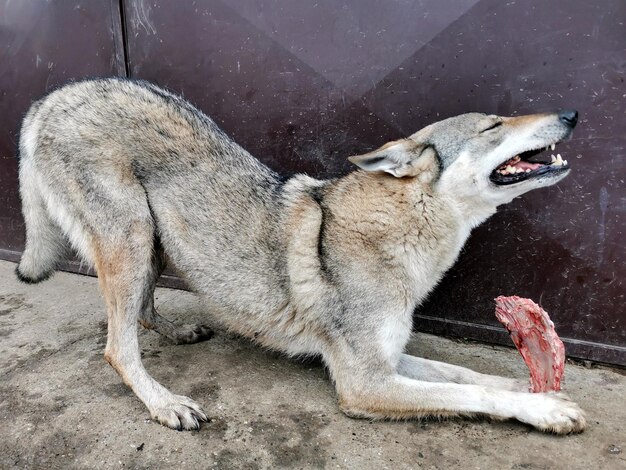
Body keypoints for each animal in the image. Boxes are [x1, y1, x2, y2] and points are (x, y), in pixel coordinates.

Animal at [14, 78, 584, 434]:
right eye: (493, 126)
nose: (573, 113)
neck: (401, 232)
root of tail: (51, 97)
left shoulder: (389, 359)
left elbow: (468, 375)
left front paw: (538, 389)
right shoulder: (364, 383)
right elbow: (472, 395)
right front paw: (543, 410)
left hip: (151, 242)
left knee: (142, 316)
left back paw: (177, 333)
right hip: (129, 241)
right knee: (118, 347)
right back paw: (165, 404)